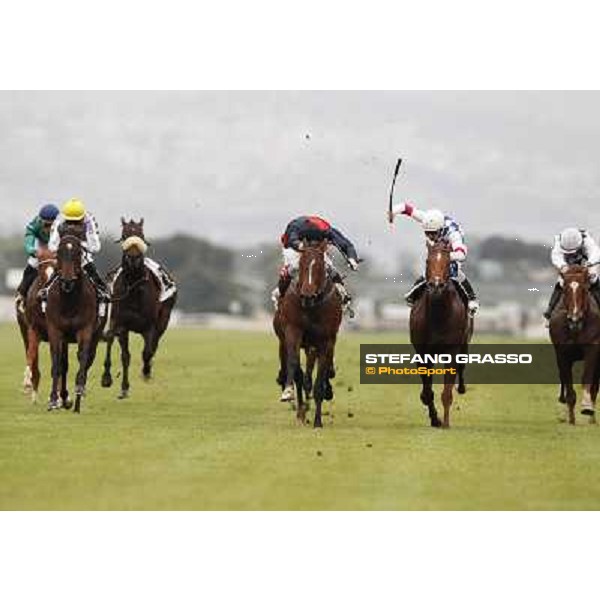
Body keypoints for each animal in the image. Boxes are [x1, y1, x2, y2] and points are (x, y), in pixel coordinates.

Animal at [45, 225, 106, 412]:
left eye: (78, 252)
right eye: (59, 251)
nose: (67, 280)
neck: (69, 301)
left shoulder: (85, 330)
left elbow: (83, 359)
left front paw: (78, 396)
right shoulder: (55, 330)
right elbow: (56, 362)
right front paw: (52, 400)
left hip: (96, 333)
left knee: (87, 359)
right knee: (63, 363)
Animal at [100, 218, 176, 396]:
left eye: (141, 235)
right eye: (124, 235)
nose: (133, 258)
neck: (134, 287)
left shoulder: (150, 326)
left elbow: (147, 352)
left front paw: (146, 371)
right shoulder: (122, 325)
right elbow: (125, 355)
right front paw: (123, 387)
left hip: (163, 320)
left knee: (153, 346)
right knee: (110, 340)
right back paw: (107, 376)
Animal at [274, 239, 342, 426]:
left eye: (320, 266)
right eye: (302, 265)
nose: (308, 295)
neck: (312, 308)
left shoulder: (325, 341)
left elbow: (320, 377)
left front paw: (318, 421)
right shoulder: (293, 332)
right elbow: (295, 366)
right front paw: (289, 393)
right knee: (298, 371)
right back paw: (300, 411)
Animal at [410, 241, 472, 428]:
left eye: (447, 262)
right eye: (427, 261)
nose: (436, 285)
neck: (438, 315)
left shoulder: (451, 351)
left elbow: (446, 392)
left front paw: (445, 422)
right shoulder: (423, 352)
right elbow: (427, 391)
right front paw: (435, 418)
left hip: (464, 343)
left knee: (461, 367)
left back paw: (461, 387)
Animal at [548, 264, 600, 424]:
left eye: (584, 289)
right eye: (565, 290)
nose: (574, 319)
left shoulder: (593, 348)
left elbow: (587, 378)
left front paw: (587, 407)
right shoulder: (562, 353)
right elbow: (567, 381)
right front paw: (570, 418)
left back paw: (592, 417)